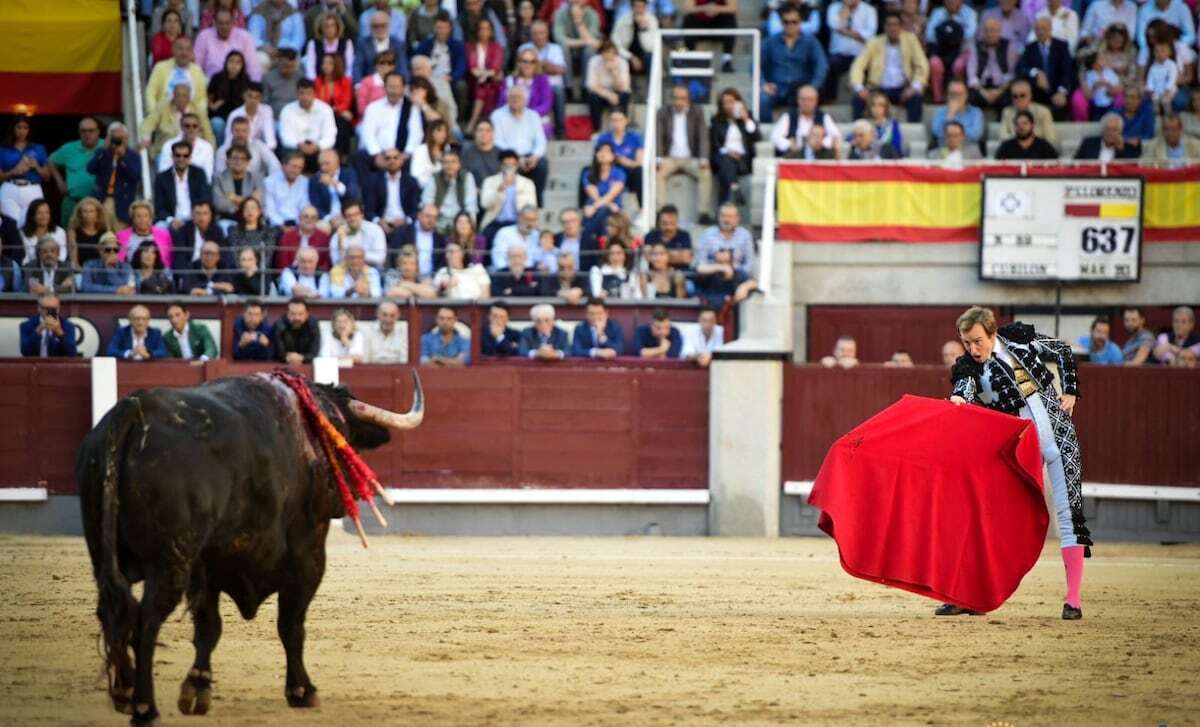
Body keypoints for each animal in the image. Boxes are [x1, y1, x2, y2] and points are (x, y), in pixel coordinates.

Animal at [75, 374, 422, 724]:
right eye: (340, 433)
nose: (344, 495)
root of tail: (133, 409)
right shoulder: (307, 557)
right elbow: (291, 625)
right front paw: (302, 691)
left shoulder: (207, 565)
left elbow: (209, 626)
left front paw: (197, 688)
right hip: (169, 562)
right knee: (146, 619)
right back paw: (145, 707)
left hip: (103, 554)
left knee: (113, 611)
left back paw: (124, 691)